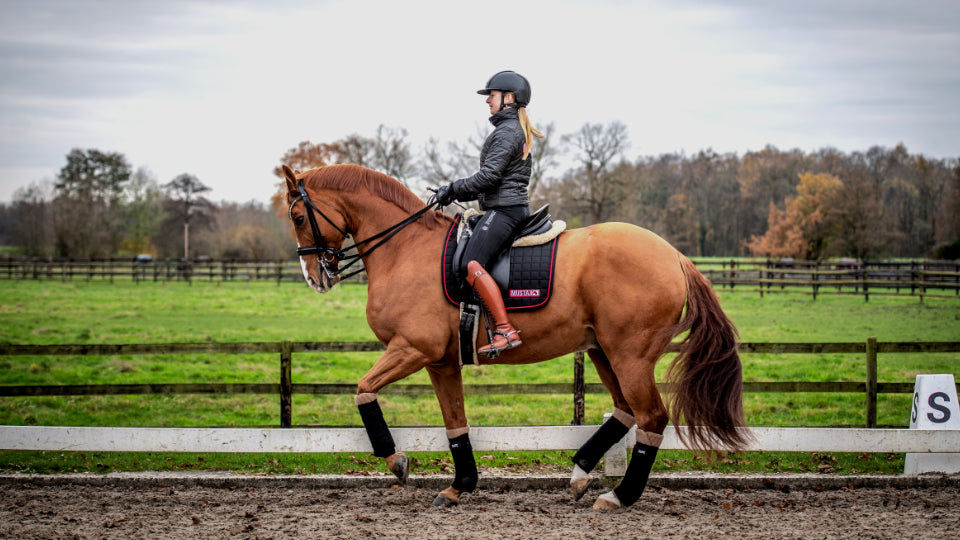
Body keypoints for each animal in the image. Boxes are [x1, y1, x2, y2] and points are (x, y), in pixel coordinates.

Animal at [282, 162, 752, 508]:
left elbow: (363, 390)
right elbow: (455, 423)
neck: (404, 250)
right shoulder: (440, 361)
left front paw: (397, 460)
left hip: (630, 355)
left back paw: (618, 496)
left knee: (650, 417)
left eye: (299, 216)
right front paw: (460, 485)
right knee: (625, 411)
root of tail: (675, 256)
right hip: (604, 351)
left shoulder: (413, 349)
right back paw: (580, 473)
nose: (314, 278)